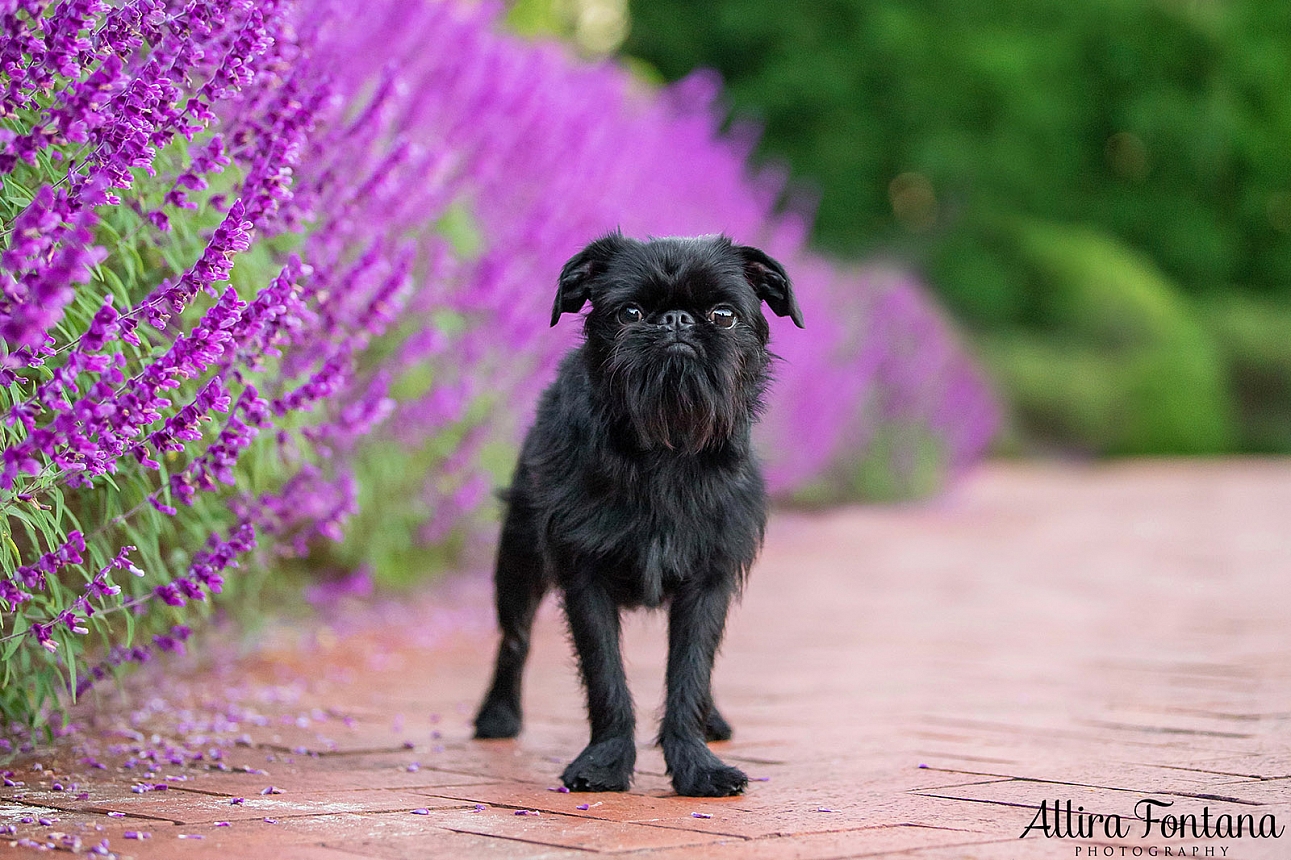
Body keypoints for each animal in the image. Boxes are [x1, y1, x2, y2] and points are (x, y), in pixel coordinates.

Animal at [469, 231, 800, 795]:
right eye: (628, 313)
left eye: (724, 315)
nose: (676, 321)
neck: (666, 450)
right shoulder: (585, 579)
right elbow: (605, 677)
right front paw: (604, 763)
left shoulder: (708, 581)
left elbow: (690, 672)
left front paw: (697, 765)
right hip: (518, 563)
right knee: (514, 639)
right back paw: (498, 715)